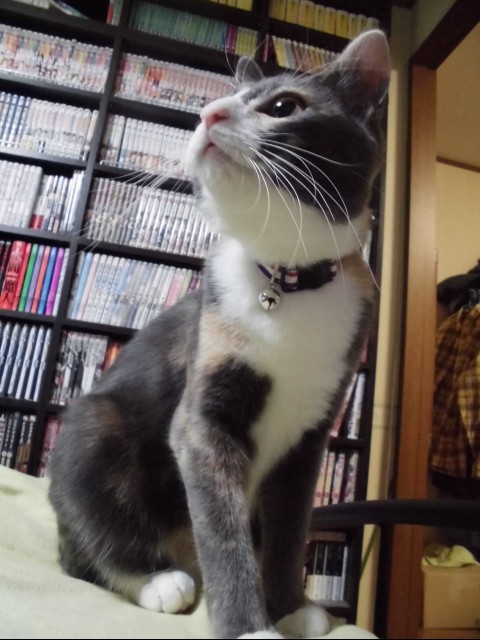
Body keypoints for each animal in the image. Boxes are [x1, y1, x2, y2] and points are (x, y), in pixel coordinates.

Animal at [48, 29, 390, 640]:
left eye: (283, 107)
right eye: (221, 101)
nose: (208, 112)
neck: (284, 283)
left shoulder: (311, 437)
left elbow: (289, 526)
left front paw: (289, 606)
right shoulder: (203, 416)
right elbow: (223, 530)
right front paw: (251, 627)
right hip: (93, 428)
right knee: (80, 549)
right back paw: (155, 579)